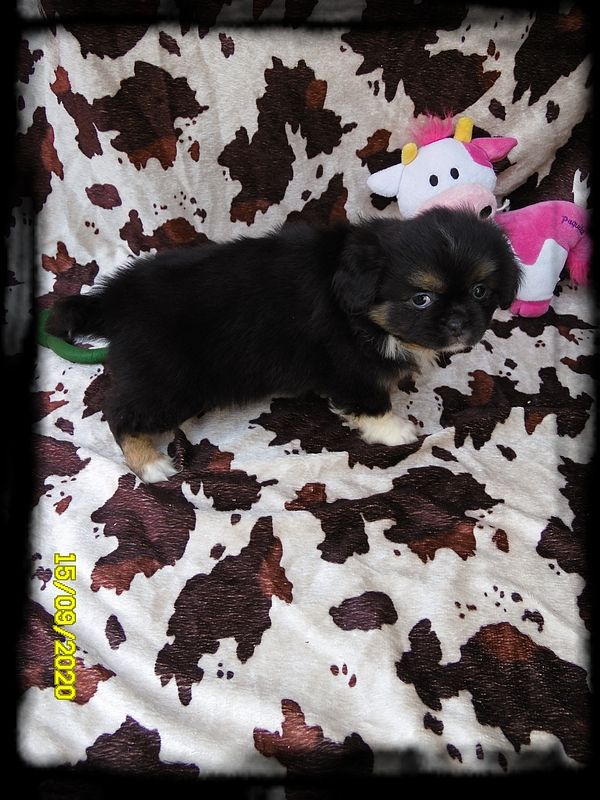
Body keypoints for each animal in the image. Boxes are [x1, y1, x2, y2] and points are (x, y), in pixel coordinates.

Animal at [47, 207, 521, 482]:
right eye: (421, 298)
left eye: (480, 291)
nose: (459, 321)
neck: (359, 309)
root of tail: (116, 297)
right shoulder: (348, 366)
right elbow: (371, 401)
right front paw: (395, 429)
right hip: (169, 380)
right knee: (119, 412)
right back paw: (150, 464)